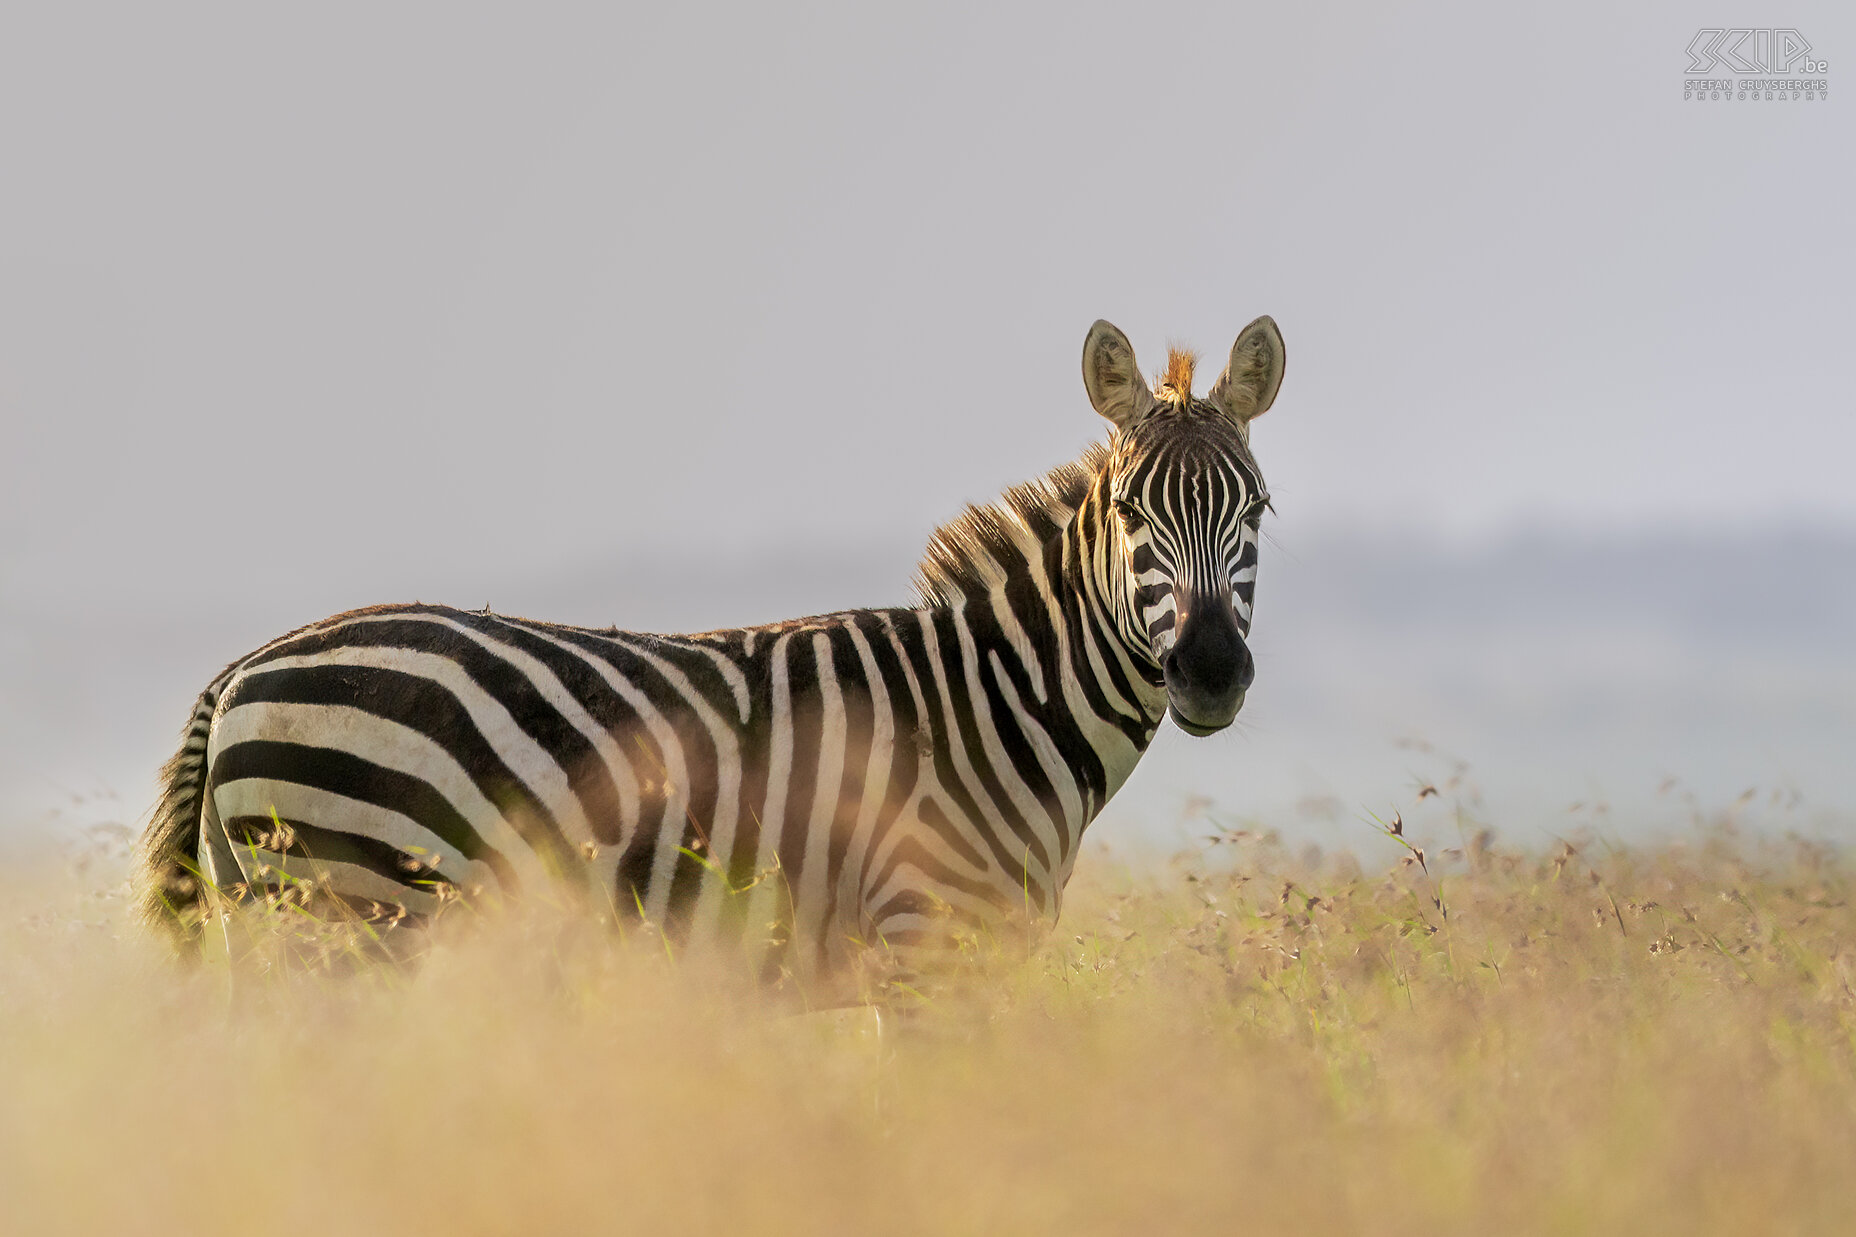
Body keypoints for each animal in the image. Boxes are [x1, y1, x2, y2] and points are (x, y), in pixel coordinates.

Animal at [134, 313, 1291, 988]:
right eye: (1130, 510)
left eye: (1258, 511)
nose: (1208, 674)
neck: (998, 706)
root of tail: (237, 673)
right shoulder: (921, 940)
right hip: (350, 915)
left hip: (276, 921)